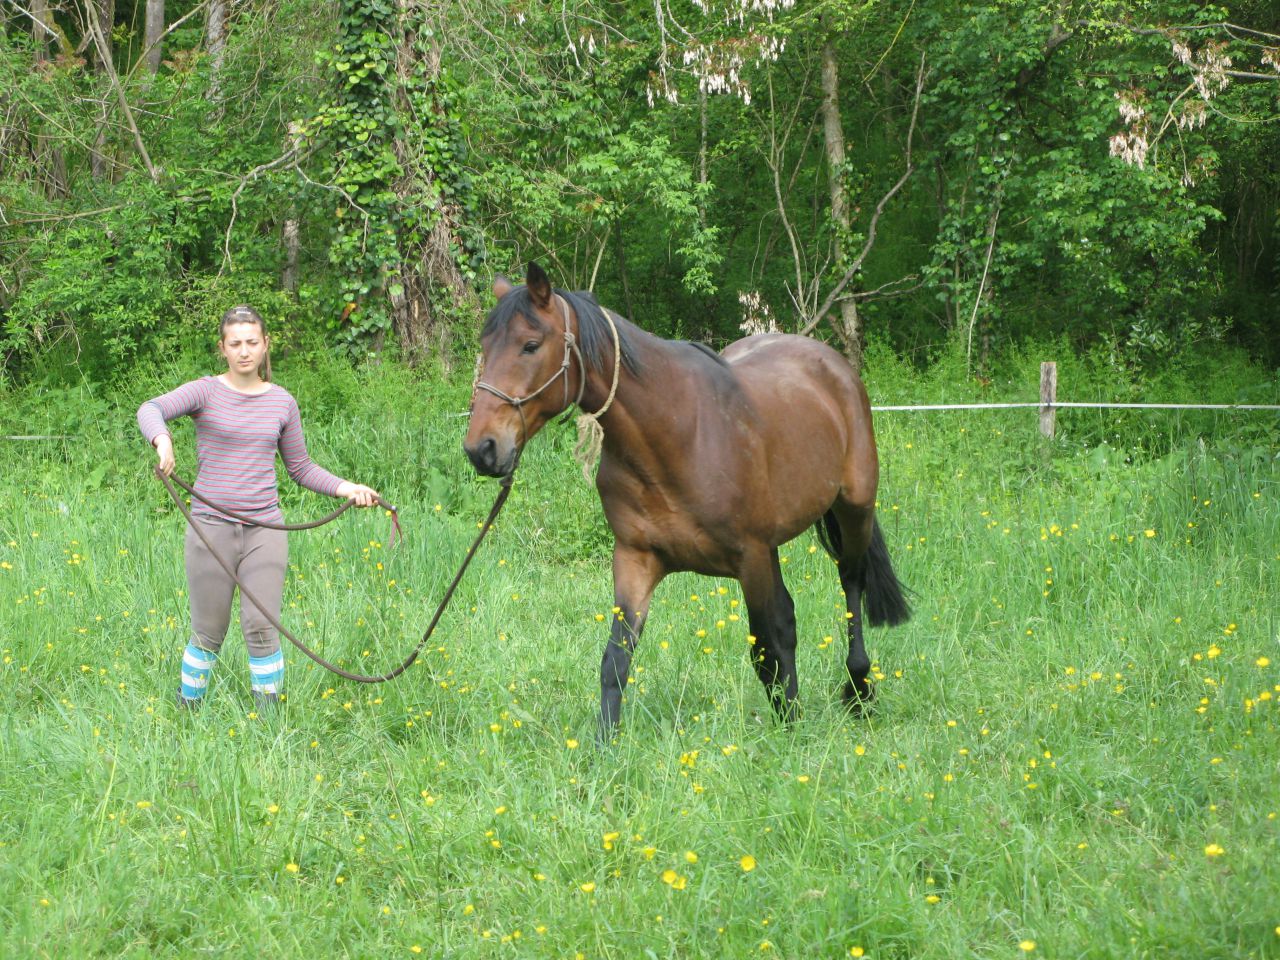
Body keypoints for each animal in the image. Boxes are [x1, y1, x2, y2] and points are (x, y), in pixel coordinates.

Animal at [464, 263, 910, 737]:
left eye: (530, 345)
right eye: (485, 346)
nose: (482, 448)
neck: (678, 436)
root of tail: (833, 364)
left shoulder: (750, 557)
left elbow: (767, 650)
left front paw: (789, 729)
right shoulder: (636, 559)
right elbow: (616, 660)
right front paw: (604, 744)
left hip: (853, 510)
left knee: (851, 582)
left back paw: (859, 690)